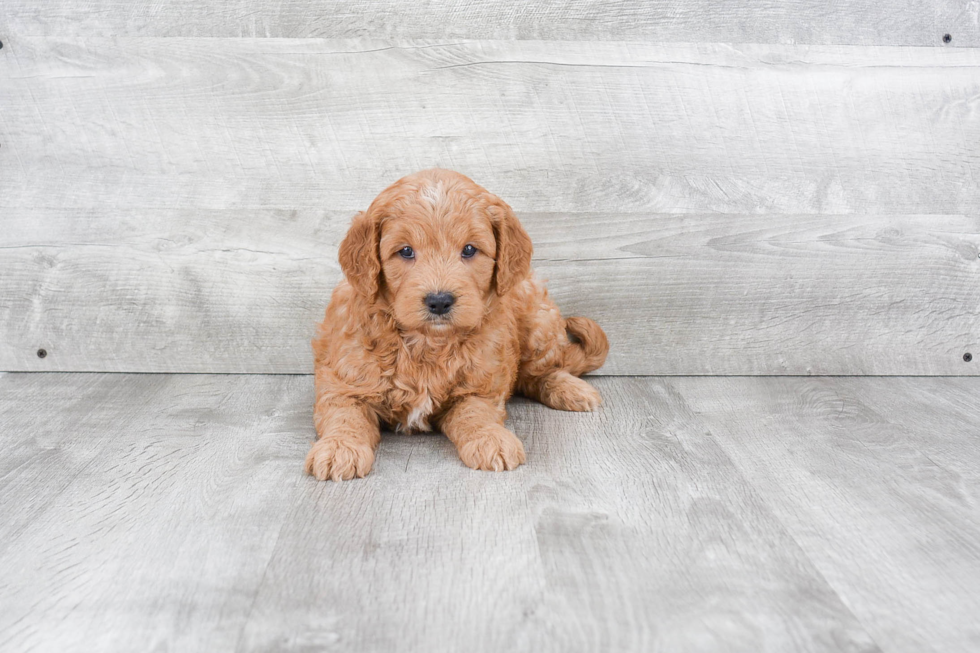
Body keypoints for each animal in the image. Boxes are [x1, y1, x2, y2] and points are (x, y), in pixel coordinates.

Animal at [306, 168, 608, 478]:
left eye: (470, 249)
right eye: (405, 251)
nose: (439, 301)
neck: (428, 343)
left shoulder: (479, 387)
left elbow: (476, 413)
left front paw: (490, 439)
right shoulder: (344, 383)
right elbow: (344, 415)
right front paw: (339, 448)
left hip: (537, 319)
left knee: (543, 370)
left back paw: (571, 389)